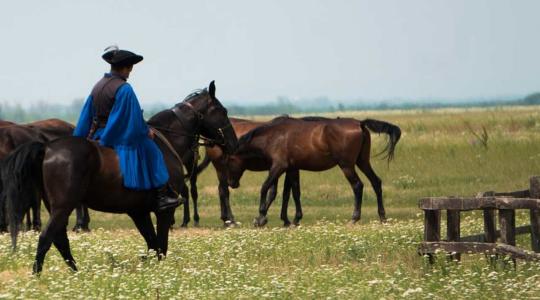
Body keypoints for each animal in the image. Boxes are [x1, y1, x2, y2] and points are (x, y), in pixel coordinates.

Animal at [3, 81, 236, 274]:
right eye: (222, 111)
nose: (233, 143)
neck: (168, 141)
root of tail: (47, 148)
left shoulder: (138, 212)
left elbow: (152, 244)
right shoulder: (164, 211)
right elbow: (161, 245)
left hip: (56, 207)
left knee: (59, 239)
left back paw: (76, 273)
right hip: (63, 206)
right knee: (47, 237)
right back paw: (39, 274)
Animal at [226, 116, 398, 226]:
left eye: (230, 160)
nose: (231, 183)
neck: (274, 136)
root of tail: (360, 123)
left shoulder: (278, 167)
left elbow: (265, 188)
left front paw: (260, 217)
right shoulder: (292, 169)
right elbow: (293, 192)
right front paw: (294, 219)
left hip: (347, 166)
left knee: (358, 186)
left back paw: (354, 218)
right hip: (362, 162)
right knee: (376, 182)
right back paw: (382, 217)